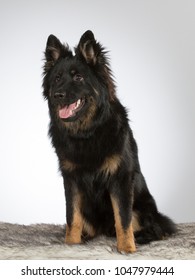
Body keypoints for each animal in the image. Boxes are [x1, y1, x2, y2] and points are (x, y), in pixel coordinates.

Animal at [42, 29, 177, 253]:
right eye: (57, 78)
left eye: (78, 77)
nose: (57, 95)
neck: (87, 132)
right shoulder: (71, 180)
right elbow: (72, 217)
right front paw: (71, 244)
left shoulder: (120, 179)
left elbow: (122, 219)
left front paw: (127, 249)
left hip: (142, 206)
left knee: (155, 229)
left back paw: (140, 237)